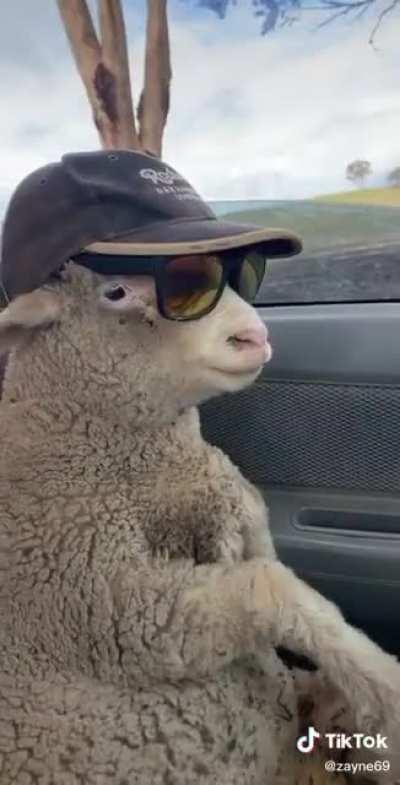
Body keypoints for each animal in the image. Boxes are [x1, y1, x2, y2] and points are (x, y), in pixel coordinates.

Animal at [0, 260, 399, 785]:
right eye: (116, 291)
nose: (254, 336)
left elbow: (255, 533)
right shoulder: (109, 606)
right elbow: (269, 586)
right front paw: (388, 690)